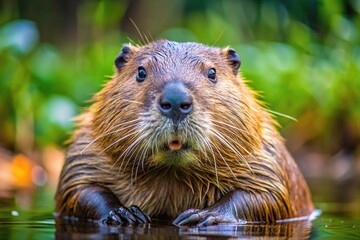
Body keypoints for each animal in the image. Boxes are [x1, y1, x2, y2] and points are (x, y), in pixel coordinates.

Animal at [54, 40, 314, 226]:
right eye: (141, 72)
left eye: (212, 72)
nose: (176, 100)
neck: (172, 177)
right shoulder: (86, 149)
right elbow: (78, 189)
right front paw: (125, 214)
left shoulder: (265, 155)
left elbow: (268, 195)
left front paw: (202, 216)